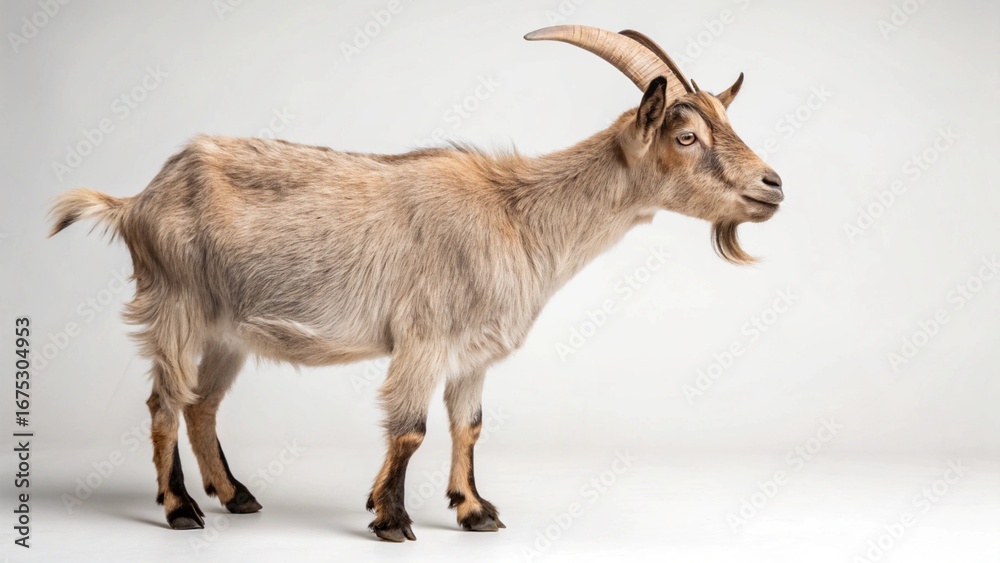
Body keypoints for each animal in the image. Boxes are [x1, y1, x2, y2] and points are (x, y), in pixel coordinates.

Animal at [49, 25, 783, 541]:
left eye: (725, 122)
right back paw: (180, 508)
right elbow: (410, 428)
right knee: (164, 402)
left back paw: (237, 496)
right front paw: (391, 518)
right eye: (686, 136)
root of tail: (137, 201)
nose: (773, 184)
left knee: (201, 404)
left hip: (229, 328)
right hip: (175, 302)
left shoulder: (474, 351)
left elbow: (470, 426)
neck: (517, 214)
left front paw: (474, 509)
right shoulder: (424, 336)